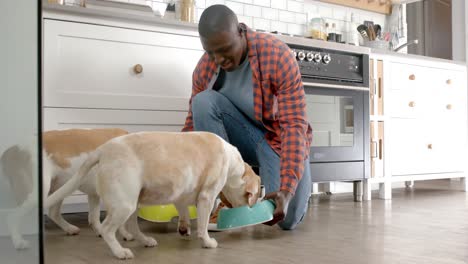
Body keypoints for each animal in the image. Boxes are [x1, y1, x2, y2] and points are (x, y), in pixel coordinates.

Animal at [0, 128, 130, 250]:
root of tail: (12, 150)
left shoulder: (94, 194)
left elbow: (94, 216)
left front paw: (101, 231)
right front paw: (125, 234)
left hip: (59, 189)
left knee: (53, 213)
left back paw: (69, 228)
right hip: (39, 193)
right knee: (12, 216)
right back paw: (18, 242)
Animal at [46, 131, 264, 258]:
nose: (261, 193)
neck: (233, 162)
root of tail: (102, 150)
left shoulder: (182, 195)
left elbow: (183, 211)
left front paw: (184, 228)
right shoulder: (206, 198)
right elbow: (202, 226)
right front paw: (207, 242)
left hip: (133, 202)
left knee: (132, 227)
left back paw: (145, 240)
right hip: (125, 204)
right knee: (107, 229)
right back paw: (120, 252)